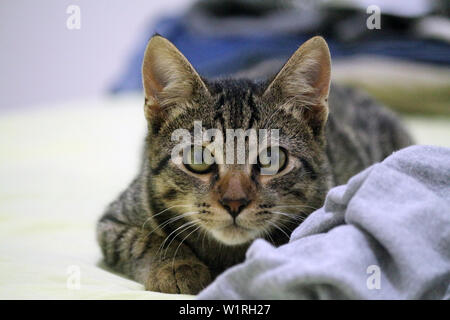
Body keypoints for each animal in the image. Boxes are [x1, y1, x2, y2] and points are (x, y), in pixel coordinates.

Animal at [96, 35, 414, 296]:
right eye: (198, 159)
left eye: (273, 159)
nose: (234, 202)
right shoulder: (113, 221)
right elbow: (142, 240)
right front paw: (176, 266)